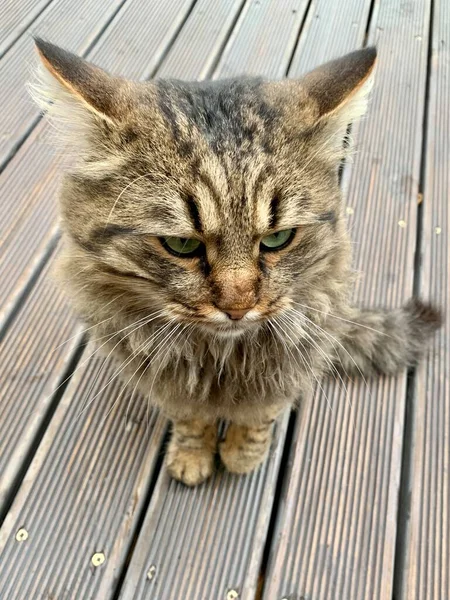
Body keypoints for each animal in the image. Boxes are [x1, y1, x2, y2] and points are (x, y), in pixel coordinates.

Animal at [32, 37, 442, 486]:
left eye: (278, 238)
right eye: (180, 244)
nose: (238, 307)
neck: (219, 357)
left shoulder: (285, 368)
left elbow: (258, 417)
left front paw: (242, 455)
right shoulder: (166, 381)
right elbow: (191, 418)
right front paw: (193, 454)